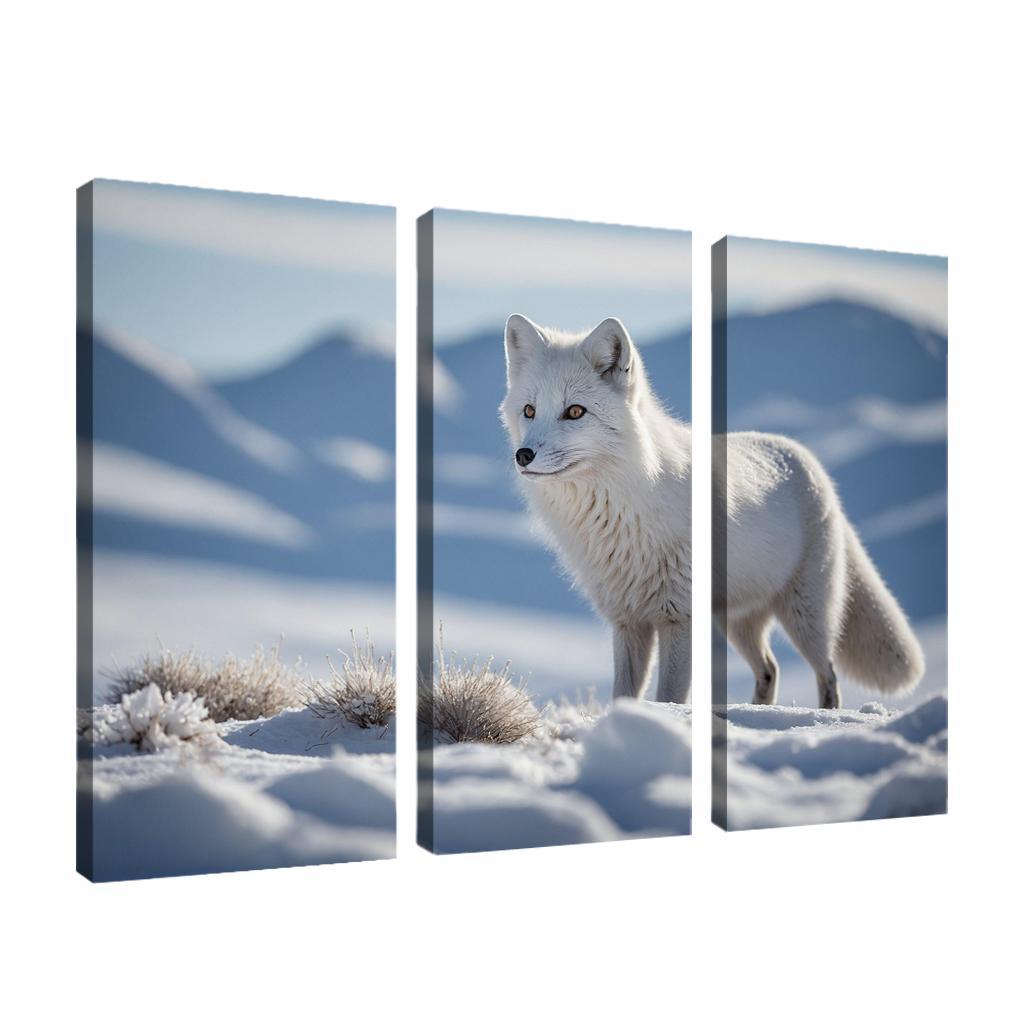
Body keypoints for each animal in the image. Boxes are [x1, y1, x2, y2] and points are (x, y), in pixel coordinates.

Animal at [500, 313, 925, 710]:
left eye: (575, 412)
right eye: (529, 410)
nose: (524, 455)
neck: (620, 511)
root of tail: (804, 456)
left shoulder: (679, 617)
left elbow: (669, 697)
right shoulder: (629, 620)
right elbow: (625, 694)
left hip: (806, 616)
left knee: (828, 674)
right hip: (735, 622)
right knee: (770, 669)